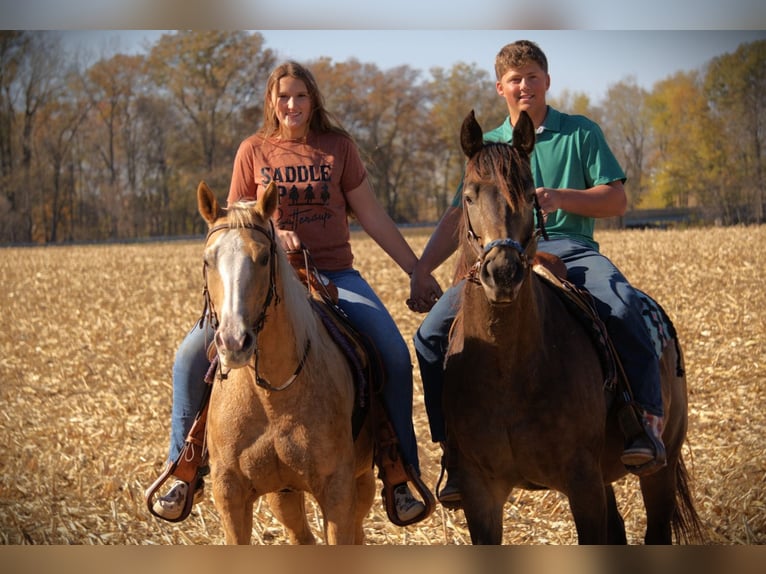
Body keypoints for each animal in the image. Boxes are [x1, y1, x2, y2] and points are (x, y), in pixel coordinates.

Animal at [196, 180, 375, 544]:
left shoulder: (337, 492)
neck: (271, 397)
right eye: (208, 261)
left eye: (264, 257)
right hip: (284, 494)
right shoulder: (230, 493)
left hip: (362, 482)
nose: (234, 342)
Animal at [441, 110, 702, 545]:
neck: (507, 369)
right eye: (469, 196)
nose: (503, 273)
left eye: (530, 193)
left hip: (660, 466)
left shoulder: (582, 483)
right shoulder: (480, 494)